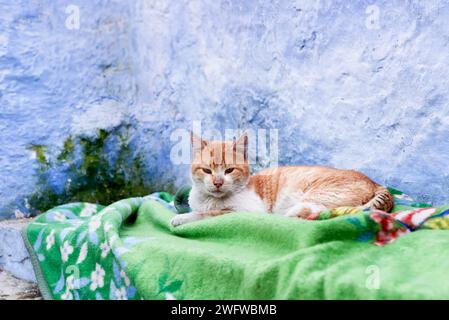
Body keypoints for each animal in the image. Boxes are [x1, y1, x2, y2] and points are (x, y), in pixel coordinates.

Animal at [170, 133, 394, 228]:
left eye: (229, 170)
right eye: (207, 170)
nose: (217, 183)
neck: (210, 200)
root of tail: (373, 182)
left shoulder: (244, 211)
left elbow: (207, 214)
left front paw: (182, 218)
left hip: (318, 194)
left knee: (319, 211)